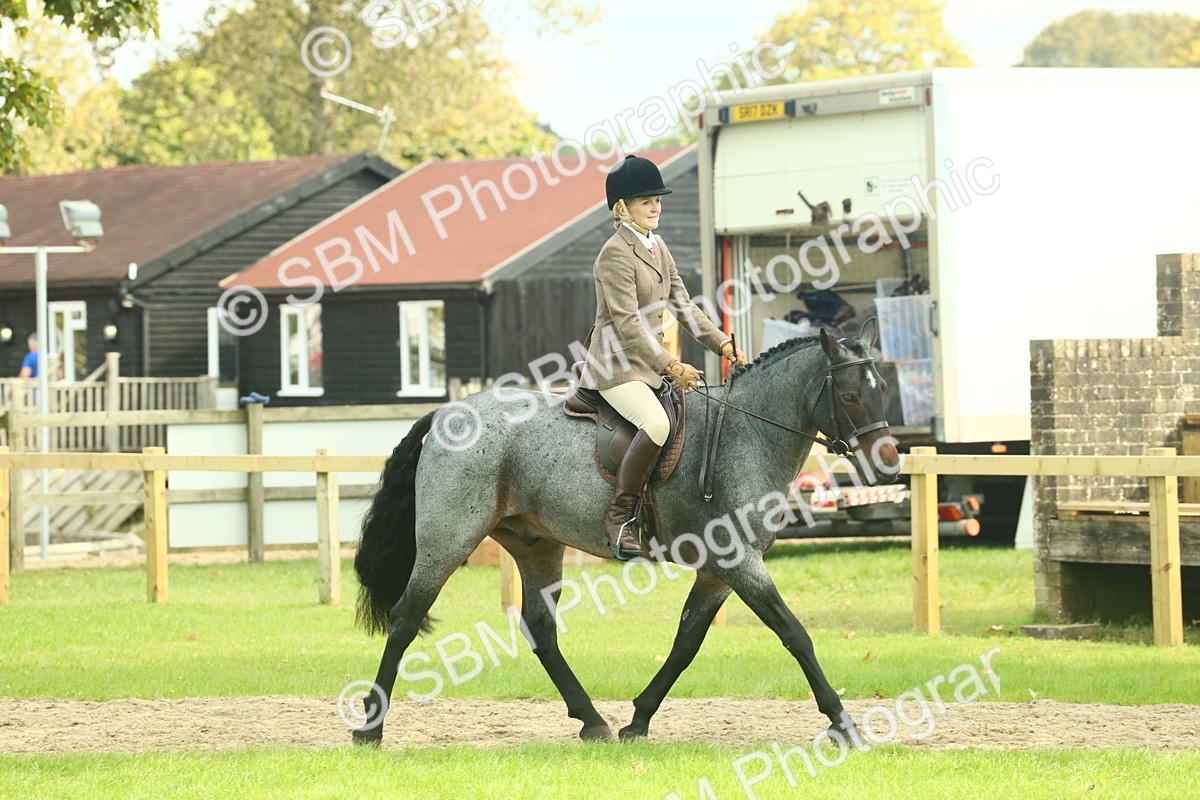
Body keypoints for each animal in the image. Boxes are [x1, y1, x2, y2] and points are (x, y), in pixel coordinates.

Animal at [351, 319, 899, 746]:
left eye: (884, 391)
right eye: (850, 394)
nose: (889, 466)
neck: (747, 433)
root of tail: (448, 412)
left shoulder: (718, 574)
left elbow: (686, 644)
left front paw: (638, 720)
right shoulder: (740, 563)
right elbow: (795, 635)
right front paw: (844, 724)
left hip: (537, 546)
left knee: (541, 629)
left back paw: (593, 722)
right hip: (447, 543)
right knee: (406, 618)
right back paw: (370, 729)